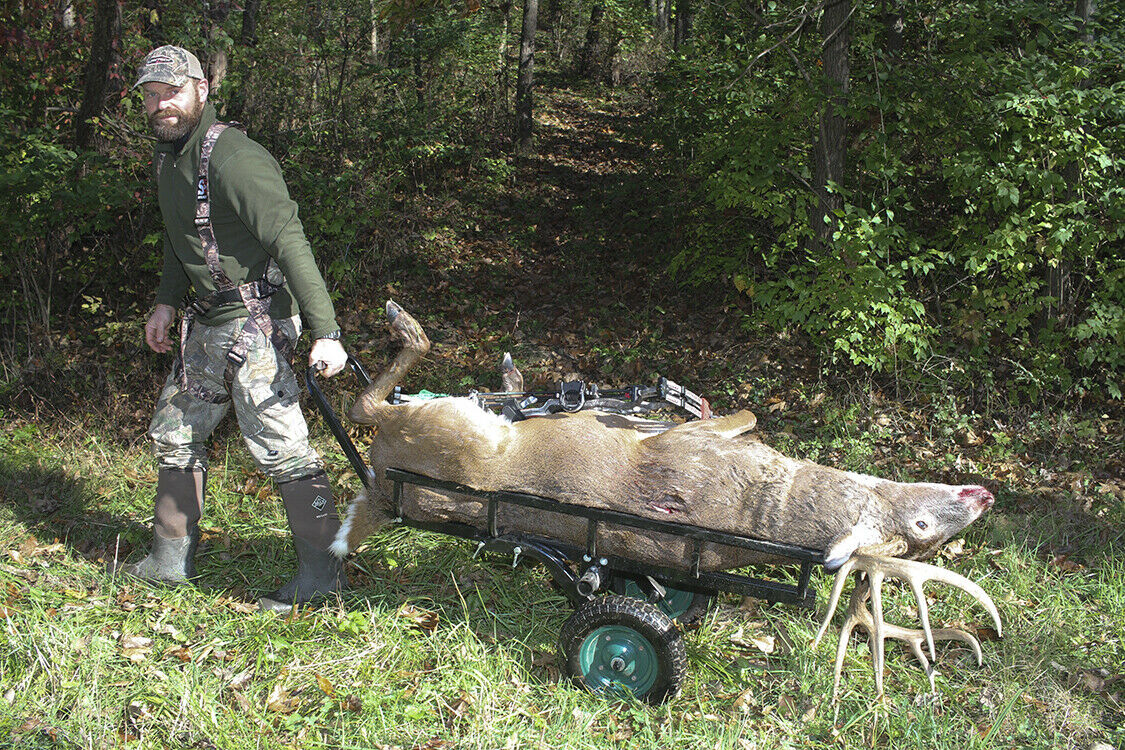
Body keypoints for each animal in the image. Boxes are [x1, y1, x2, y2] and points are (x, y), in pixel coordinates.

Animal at [333, 300, 1002, 698]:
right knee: (372, 417)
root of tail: (386, 465)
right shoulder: (698, 437)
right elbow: (740, 413)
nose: (983, 496)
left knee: (369, 408)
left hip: (445, 432)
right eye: (924, 525)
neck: (769, 498)